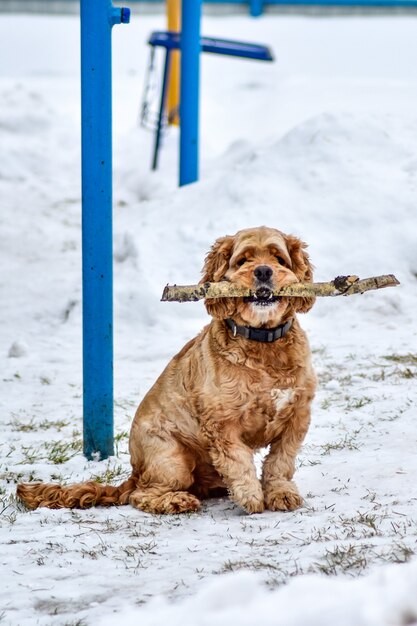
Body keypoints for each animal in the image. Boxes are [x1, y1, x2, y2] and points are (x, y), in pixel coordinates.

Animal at [17, 227, 316, 516]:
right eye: (243, 260)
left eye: (279, 259)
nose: (263, 271)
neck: (264, 345)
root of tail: (136, 472)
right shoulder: (221, 424)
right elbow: (238, 461)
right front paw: (251, 497)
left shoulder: (297, 415)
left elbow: (280, 461)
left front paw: (280, 493)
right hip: (173, 459)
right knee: (142, 495)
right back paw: (177, 501)